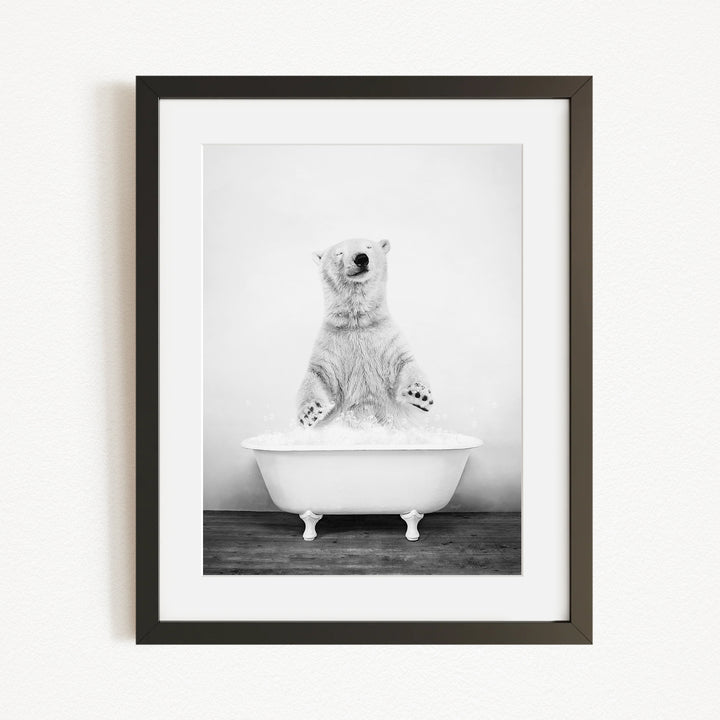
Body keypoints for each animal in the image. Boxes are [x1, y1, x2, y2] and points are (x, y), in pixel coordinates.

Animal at [297, 238, 433, 427]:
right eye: (339, 252)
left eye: (368, 246)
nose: (361, 258)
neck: (358, 322)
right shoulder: (331, 345)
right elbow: (317, 376)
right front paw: (310, 412)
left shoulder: (386, 338)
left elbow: (405, 363)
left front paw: (419, 393)